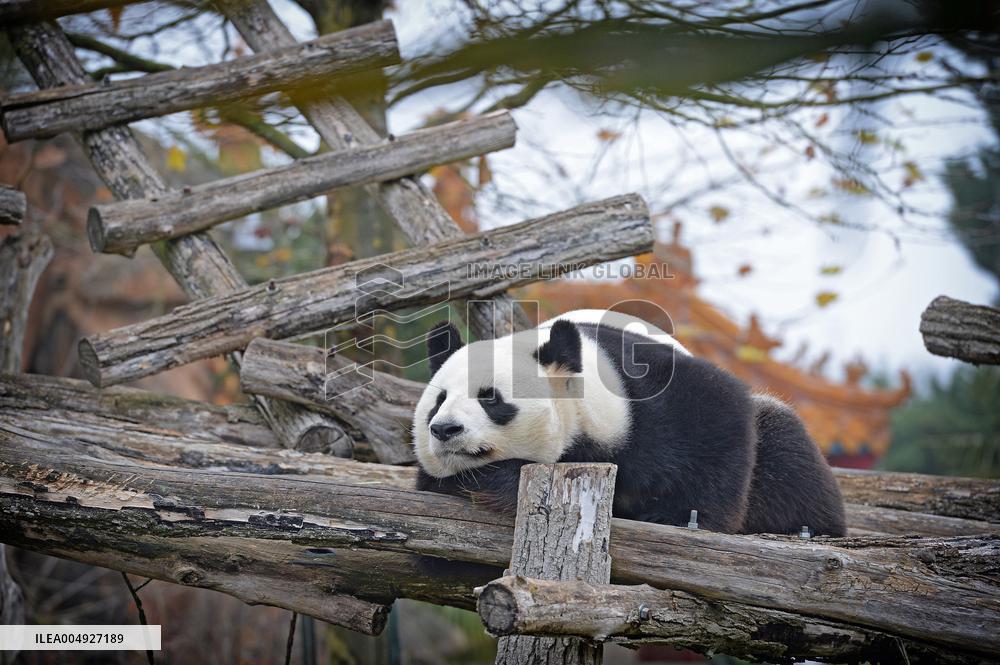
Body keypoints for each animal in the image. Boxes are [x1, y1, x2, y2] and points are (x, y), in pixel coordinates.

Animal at [413, 309, 846, 536]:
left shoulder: (641, 397)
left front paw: (680, 516)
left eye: (491, 398)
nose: (445, 429)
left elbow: (718, 410)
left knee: (786, 452)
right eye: (438, 401)